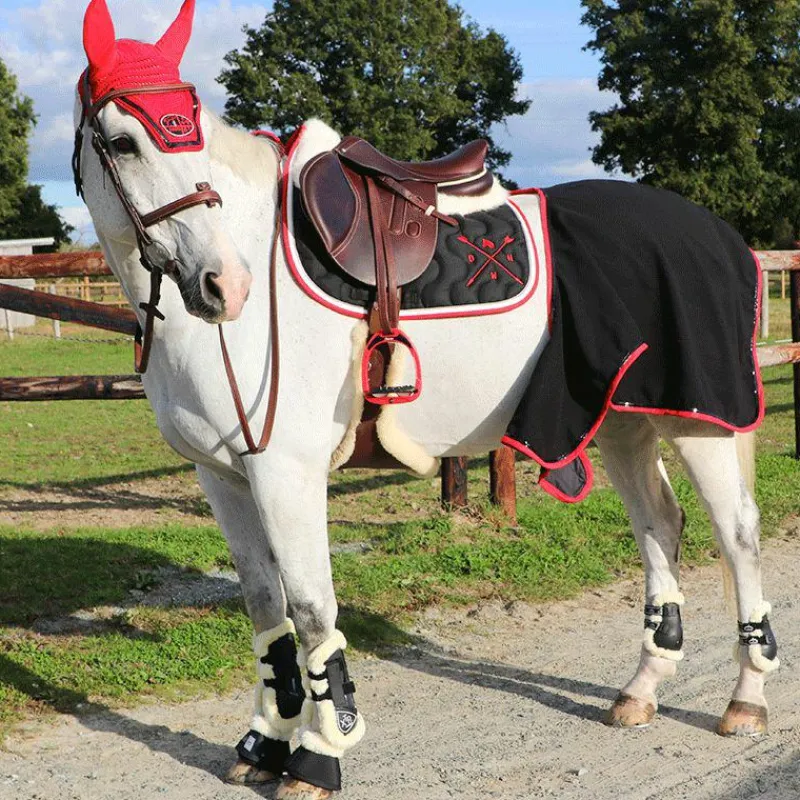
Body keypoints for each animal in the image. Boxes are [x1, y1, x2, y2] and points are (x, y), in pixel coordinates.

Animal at [73, 1, 778, 797]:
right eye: (123, 141)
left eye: (190, 131)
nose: (224, 283)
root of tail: (722, 234)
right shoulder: (223, 474)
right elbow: (264, 605)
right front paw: (265, 742)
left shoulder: (286, 472)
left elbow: (312, 610)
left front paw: (318, 755)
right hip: (625, 424)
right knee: (660, 524)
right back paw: (642, 689)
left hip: (702, 424)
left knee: (737, 536)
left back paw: (746, 698)